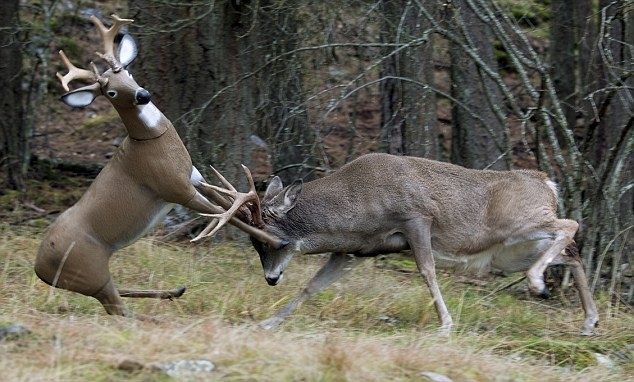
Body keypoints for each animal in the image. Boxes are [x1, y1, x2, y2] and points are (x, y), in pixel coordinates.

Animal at [34, 14, 282, 316]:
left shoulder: (194, 177)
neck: (150, 143)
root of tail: (39, 270)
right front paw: (277, 241)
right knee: (118, 309)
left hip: (89, 276)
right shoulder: (173, 188)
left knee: (118, 296)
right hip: (89, 270)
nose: (143, 94)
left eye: (127, 73)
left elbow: (230, 206)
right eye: (112, 92)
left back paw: (176, 291)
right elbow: (226, 215)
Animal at [193, 154, 596, 336]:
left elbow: (427, 271)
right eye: (253, 244)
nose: (271, 278)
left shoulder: (417, 217)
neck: (358, 209)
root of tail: (547, 183)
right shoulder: (356, 250)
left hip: (522, 225)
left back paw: (539, 283)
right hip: (514, 250)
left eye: (275, 241)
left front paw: (445, 325)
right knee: (571, 252)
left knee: (570, 226)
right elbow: (313, 286)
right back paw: (588, 321)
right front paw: (269, 322)